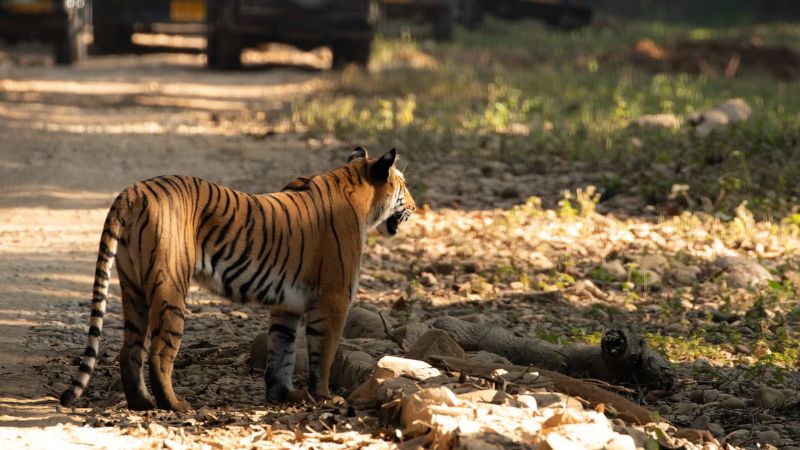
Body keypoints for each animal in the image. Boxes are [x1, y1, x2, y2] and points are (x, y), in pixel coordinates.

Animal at [59, 148, 416, 412]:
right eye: (403, 185)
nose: (415, 207)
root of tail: (132, 191)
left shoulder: (287, 305)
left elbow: (282, 352)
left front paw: (284, 396)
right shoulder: (333, 299)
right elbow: (322, 354)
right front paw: (325, 398)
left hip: (133, 289)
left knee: (129, 350)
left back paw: (142, 403)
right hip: (169, 289)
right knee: (159, 354)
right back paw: (176, 405)